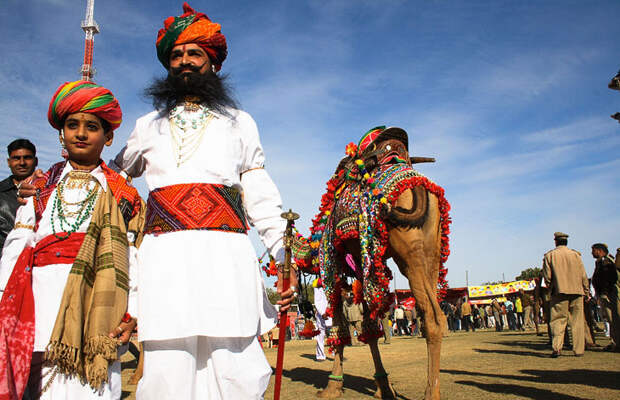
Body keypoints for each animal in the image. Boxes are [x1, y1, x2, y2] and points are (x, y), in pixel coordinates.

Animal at [288, 126, 452, 398]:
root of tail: (417, 184)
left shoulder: (332, 262)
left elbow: (340, 325)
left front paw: (332, 387)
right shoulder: (361, 265)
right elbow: (369, 325)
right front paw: (383, 388)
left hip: (409, 255)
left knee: (433, 316)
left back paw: (431, 394)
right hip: (433, 250)